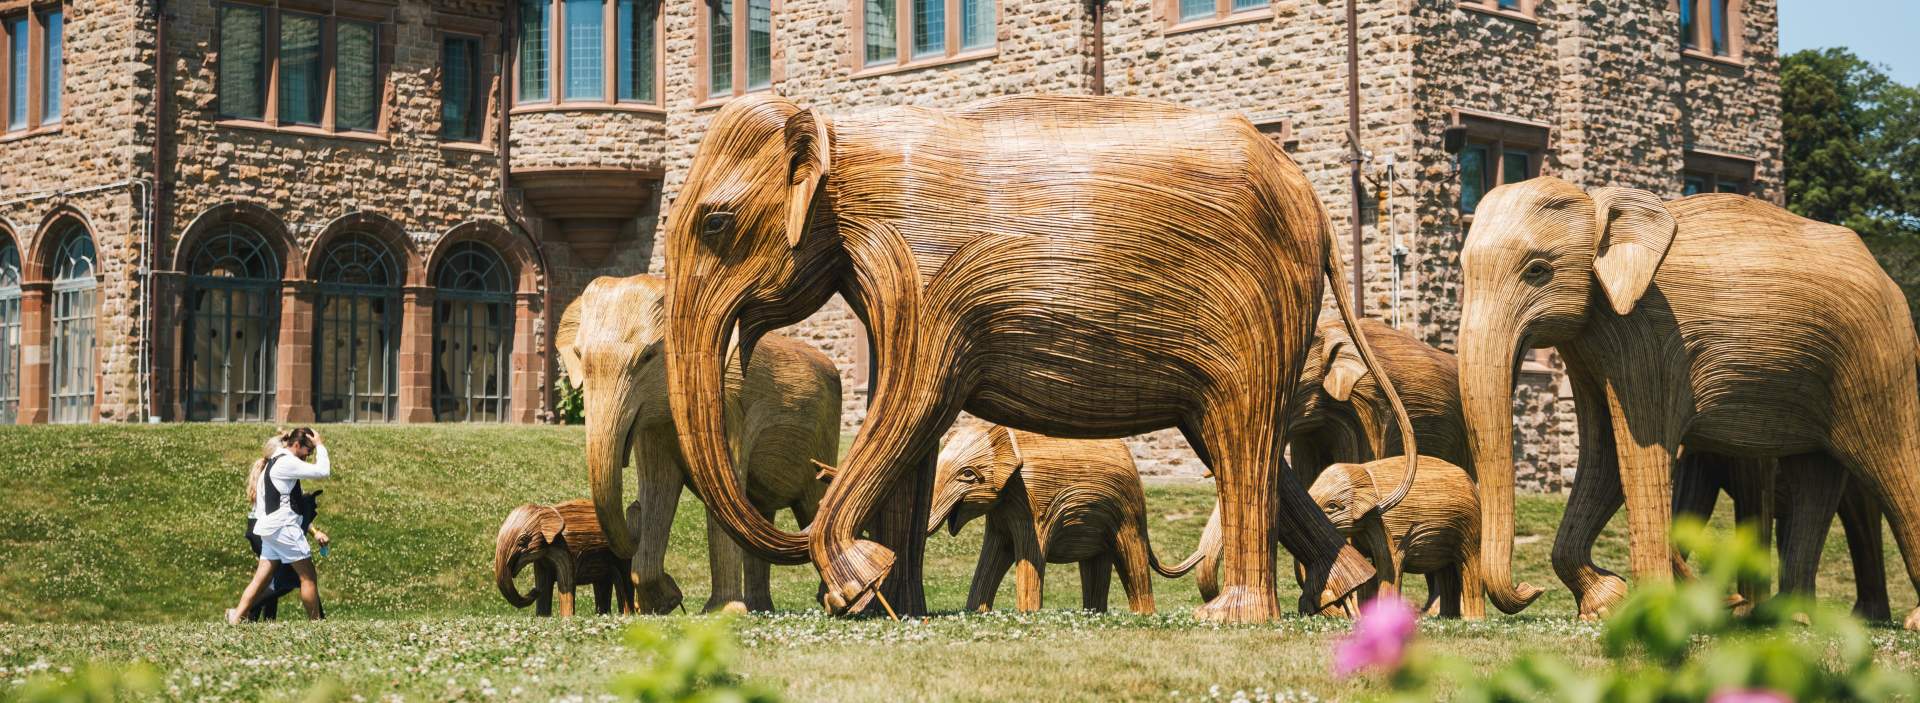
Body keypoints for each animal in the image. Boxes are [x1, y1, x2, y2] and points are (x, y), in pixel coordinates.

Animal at [494, 500, 633, 616]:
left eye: (522, 540)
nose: (534, 591)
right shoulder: (542, 559)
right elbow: (543, 581)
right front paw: (542, 617)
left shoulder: (565, 551)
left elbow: (565, 582)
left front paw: (566, 619)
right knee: (602, 583)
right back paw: (603, 615)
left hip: (621, 554)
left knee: (623, 580)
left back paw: (627, 616)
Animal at [556, 273, 840, 614]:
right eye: (579, 356)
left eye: (648, 357)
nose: (632, 508)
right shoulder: (653, 422)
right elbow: (658, 489)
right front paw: (664, 602)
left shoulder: (727, 406)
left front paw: (722, 613)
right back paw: (762, 608)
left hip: (824, 438)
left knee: (813, 505)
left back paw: (836, 601)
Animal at [926, 424, 1205, 614]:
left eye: (967, 474)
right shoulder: (1002, 511)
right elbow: (992, 553)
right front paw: (974, 612)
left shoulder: (1032, 503)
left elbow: (1031, 550)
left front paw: (1028, 614)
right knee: (1096, 562)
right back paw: (1093, 615)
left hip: (1127, 514)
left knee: (1131, 556)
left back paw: (1143, 616)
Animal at [1455, 176, 1920, 629]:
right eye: (1463, 270)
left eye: (1538, 270)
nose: (1530, 590)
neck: (1597, 202)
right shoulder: (1593, 347)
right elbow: (1603, 456)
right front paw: (1605, 605)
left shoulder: (1651, 339)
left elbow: (1637, 451)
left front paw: (1651, 616)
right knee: (1816, 477)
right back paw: (1789, 619)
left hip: (1874, 358)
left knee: (1889, 461)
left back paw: (1901, 622)